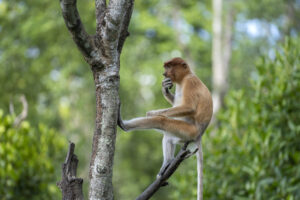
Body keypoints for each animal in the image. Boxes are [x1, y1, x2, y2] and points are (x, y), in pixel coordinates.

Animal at [118, 56, 213, 200]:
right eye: (166, 67)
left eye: (170, 66)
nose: (164, 74)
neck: (184, 78)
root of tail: (199, 134)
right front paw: (165, 89)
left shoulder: (190, 82)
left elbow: (188, 107)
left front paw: (151, 113)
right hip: (182, 134)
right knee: (168, 136)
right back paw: (168, 162)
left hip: (188, 130)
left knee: (161, 121)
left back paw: (124, 124)